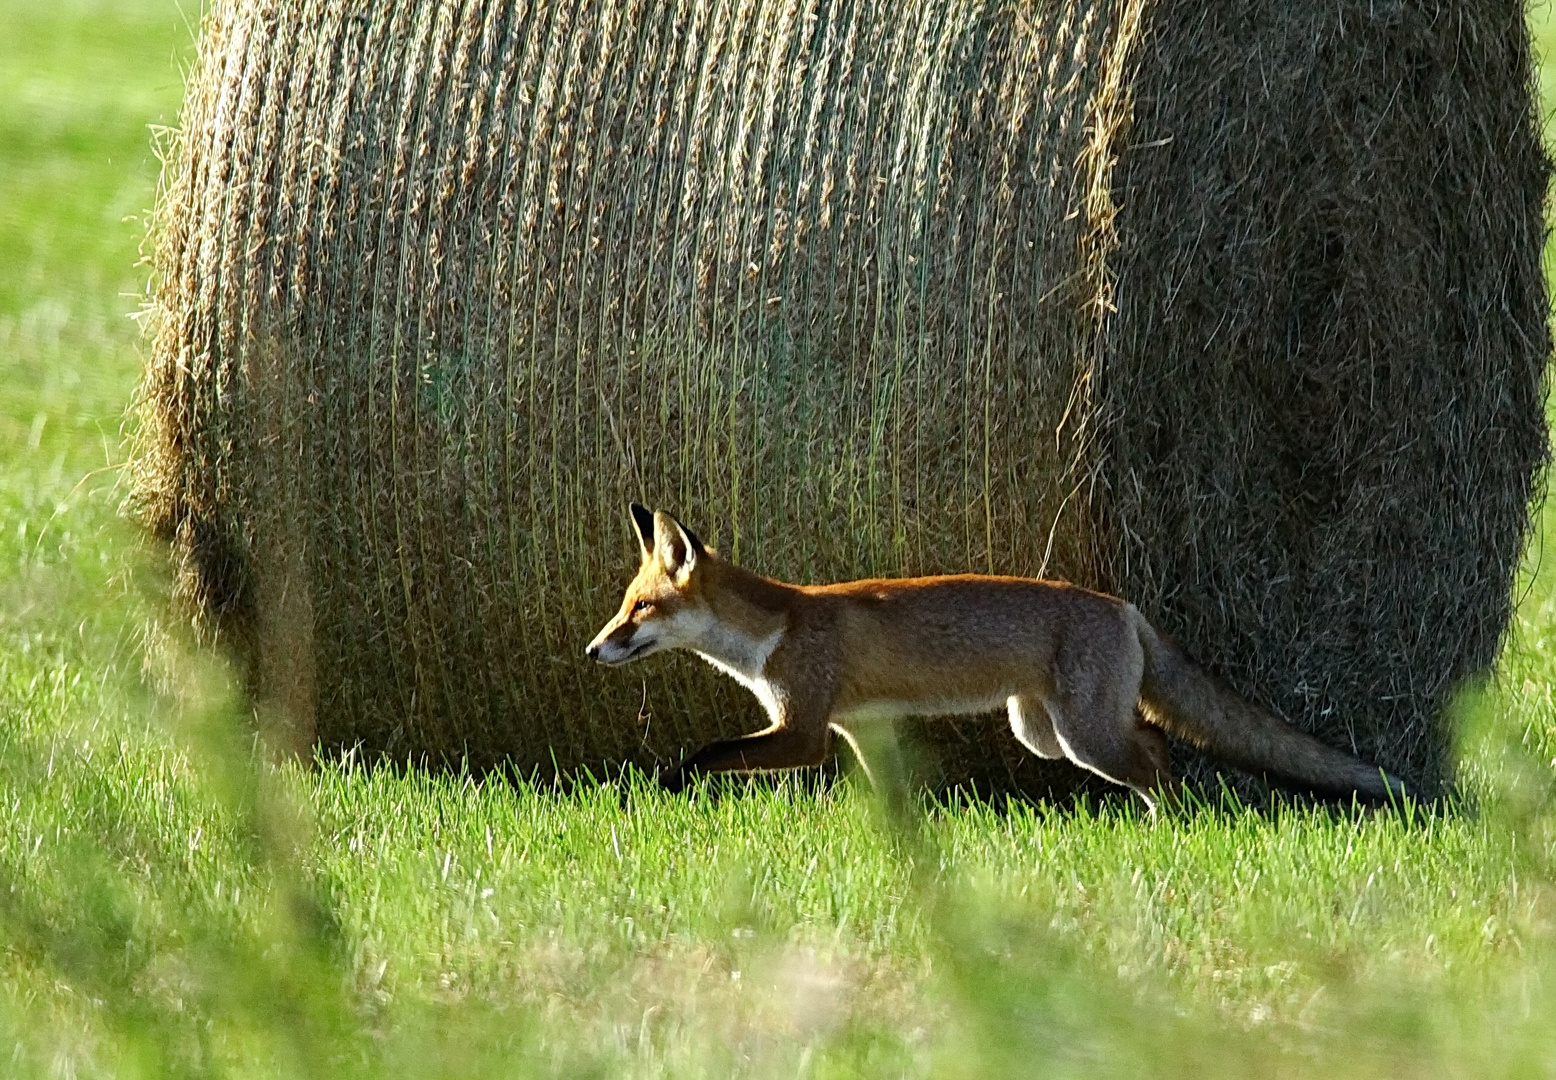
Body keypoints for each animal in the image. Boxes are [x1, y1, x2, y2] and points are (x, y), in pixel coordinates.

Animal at [585, 507, 1412, 809]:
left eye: (639, 609)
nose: (593, 649)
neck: (776, 626)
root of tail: (1122, 605)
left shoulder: (804, 729)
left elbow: (712, 750)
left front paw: (669, 780)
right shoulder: (860, 728)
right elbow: (888, 794)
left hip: (1082, 736)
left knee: (1155, 751)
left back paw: (1172, 823)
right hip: (1043, 733)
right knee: (1154, 737)